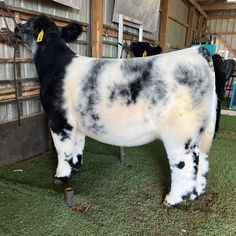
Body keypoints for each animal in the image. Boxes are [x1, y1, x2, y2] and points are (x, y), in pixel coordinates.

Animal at [15, 14, 218, 206]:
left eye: (28, 24)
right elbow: (77, 146)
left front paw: (61, 176)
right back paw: (196, 193)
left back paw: (172, 199)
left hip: (179, 132)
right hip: (202, 132)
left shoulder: (58, 119)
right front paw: (76, 168)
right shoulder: (76, 122)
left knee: (185, 164)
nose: (16, 27)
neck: (54, 65)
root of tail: (199, 52)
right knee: (202, 162)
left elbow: (63, 150)